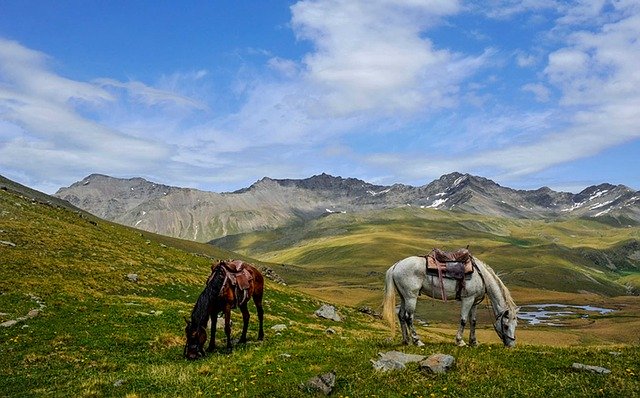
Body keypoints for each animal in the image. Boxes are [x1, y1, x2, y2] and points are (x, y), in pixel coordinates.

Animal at [382, 256, 516, 346]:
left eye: (515, 325)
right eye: (505, 325)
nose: (511, 345)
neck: (481, 275)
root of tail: (397, 265)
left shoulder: (475, 302)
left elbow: (473, 321)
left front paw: (474, 342)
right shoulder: (468, 299)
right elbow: (463, 320)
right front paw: (460, 341)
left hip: (403, 296)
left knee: (401, 316)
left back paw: (406, 341)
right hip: (411, 296)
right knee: (408, 317)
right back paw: (417, 341)